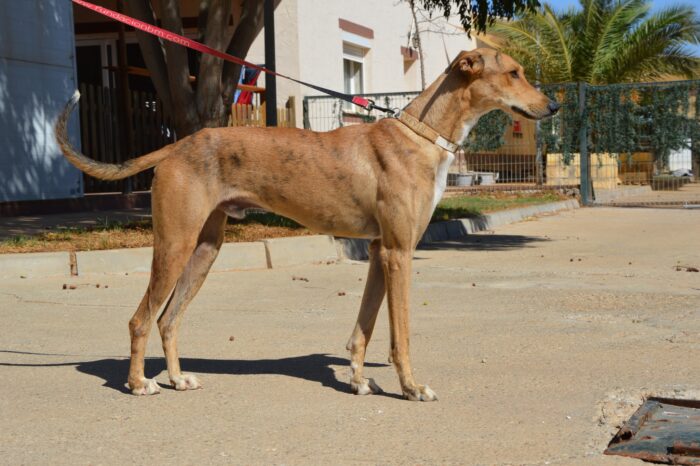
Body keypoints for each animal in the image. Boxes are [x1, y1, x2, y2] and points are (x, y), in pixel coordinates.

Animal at [55, 48, 559, 400]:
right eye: (514, 72)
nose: (553, 106)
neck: (421, 137)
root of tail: (176, 146)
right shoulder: (399, 253)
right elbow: (400, 335)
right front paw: (411, 388)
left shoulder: (379, 251)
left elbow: (363, 328)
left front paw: (359, 382)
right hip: (174, 245)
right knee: (141, 319)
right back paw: (139, 384)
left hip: (204, 249)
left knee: (169, 319)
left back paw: (177, 379)